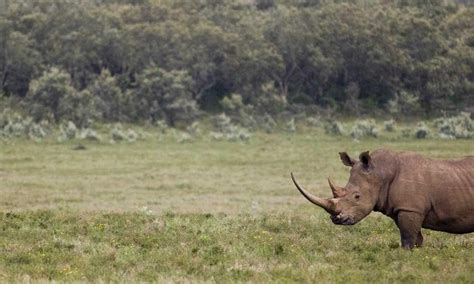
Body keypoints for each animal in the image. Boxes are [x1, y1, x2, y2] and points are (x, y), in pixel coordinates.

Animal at [292, 150, 474, 247]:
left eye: (357, 196)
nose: (337, 219)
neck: (381, 172)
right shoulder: (404, 210)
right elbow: (416, 239)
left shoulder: (410, 209)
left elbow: (408, 239)